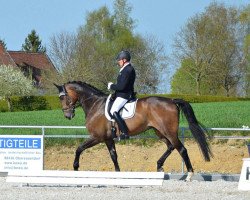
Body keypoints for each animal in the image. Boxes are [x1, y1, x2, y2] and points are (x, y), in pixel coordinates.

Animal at [53, 80, 212, 180]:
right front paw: (118, 174)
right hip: (160, 132)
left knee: (182, 149)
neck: (94, 104)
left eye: (62, 97)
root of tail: (171, 101)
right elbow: (114, 156)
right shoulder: (108, 139)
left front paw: (75, 167)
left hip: (169, 132)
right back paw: (159, 166)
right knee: (171, 146)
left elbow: (79, 149)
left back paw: (189, 175)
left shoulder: (97, 137)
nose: (68, 115)